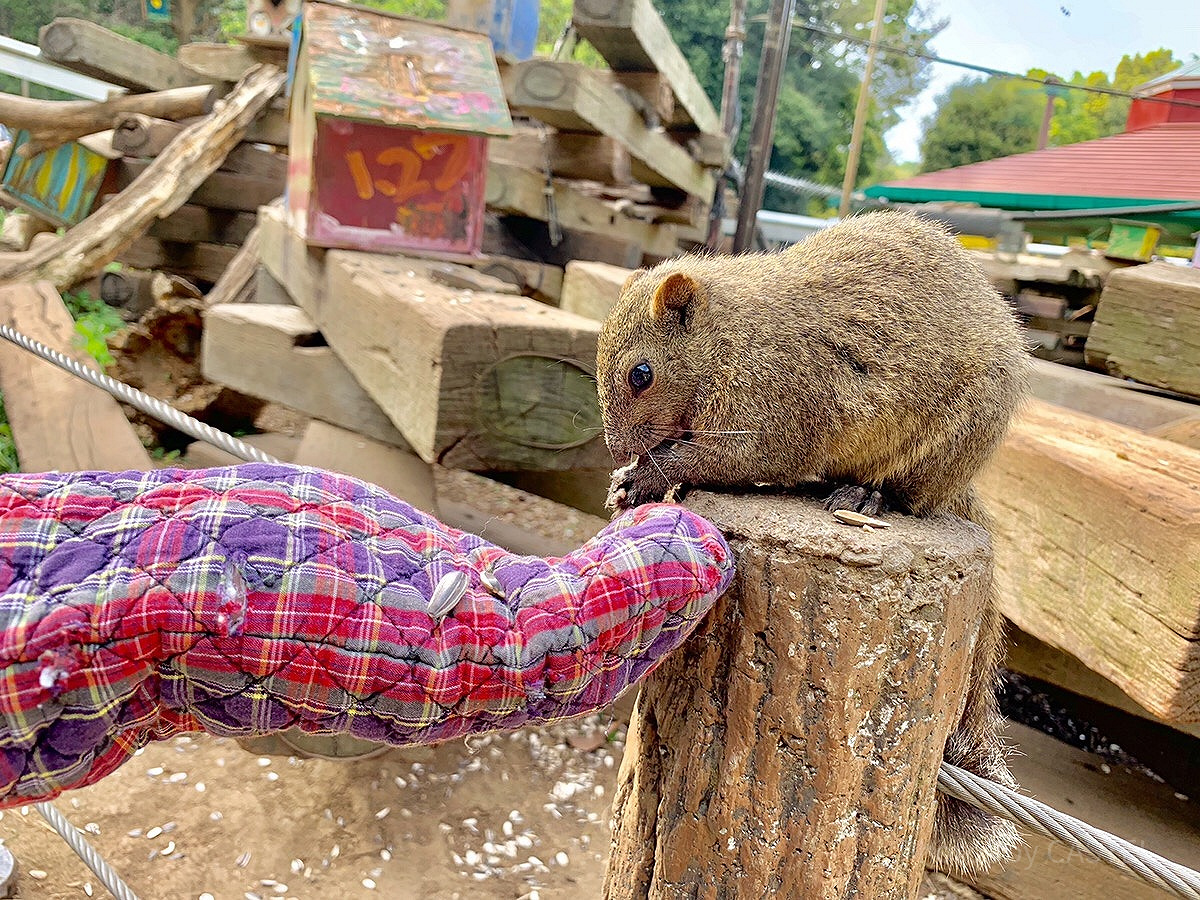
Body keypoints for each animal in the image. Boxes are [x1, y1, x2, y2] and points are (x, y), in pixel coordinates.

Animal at [595, 210, 1027, 873]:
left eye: (641, 374)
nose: (616, 450)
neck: (725, 339)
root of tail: (961, 486)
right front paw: (628, 481)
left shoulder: (769, 411)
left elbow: (724, 458)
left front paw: (646, 476)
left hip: (937, 452)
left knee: (907, 495)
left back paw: (865, 497)